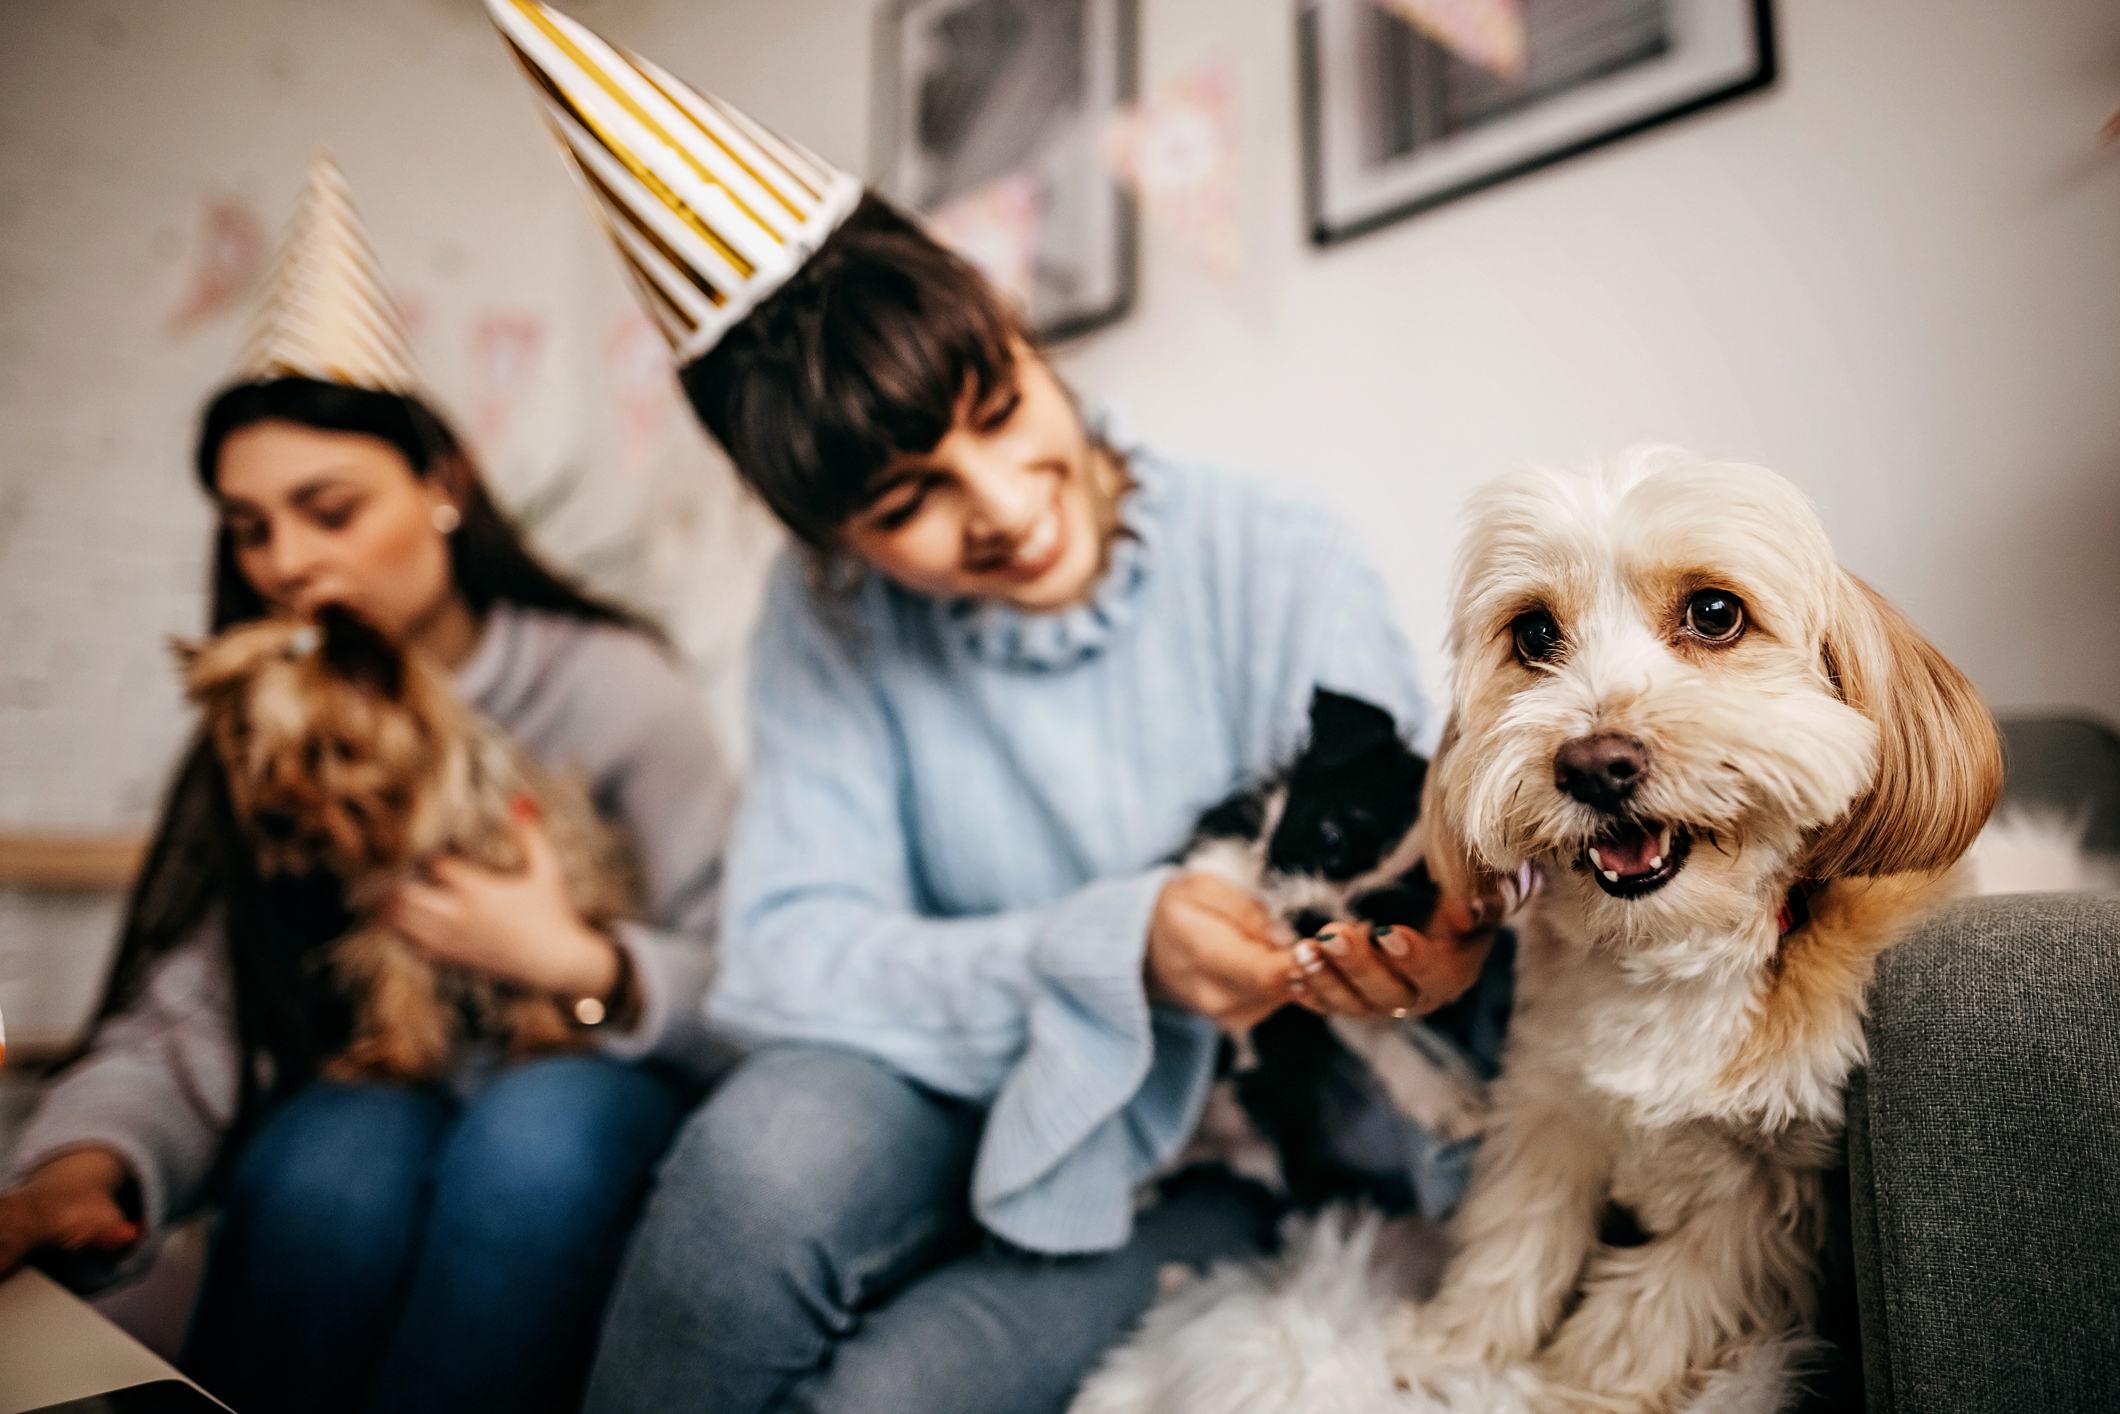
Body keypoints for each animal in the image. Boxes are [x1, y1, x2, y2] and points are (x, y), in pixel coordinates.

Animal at [1076, 451, 2001, 1414]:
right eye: (1534, 634)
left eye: (1716, 613)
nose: (1595, 764)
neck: (1672, 950)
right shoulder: (1549, 1112)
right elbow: (1512, 1244)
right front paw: (1448, 1354)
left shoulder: (1767, 1191)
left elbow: (1652, 1312)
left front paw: (1558, 1389)